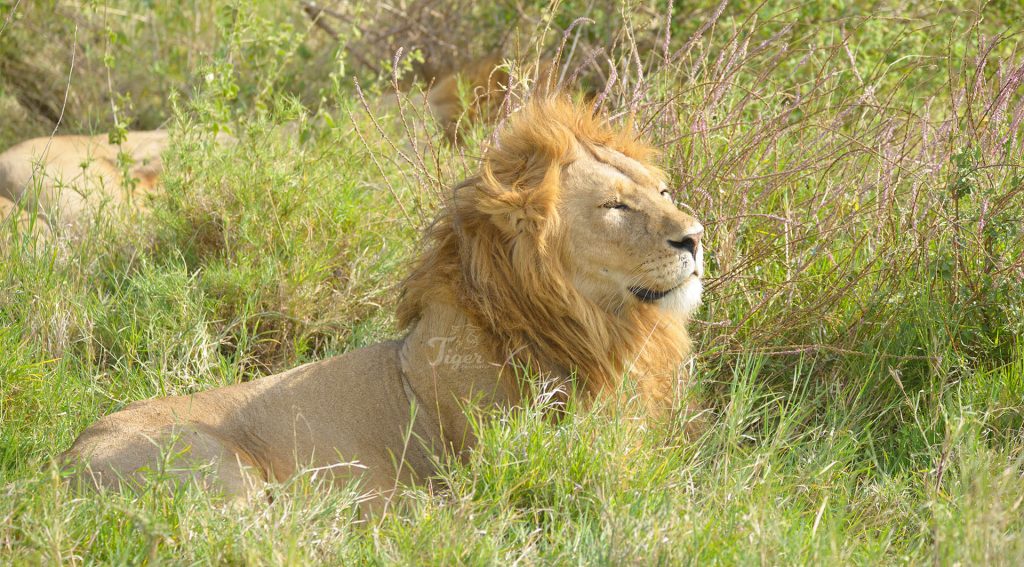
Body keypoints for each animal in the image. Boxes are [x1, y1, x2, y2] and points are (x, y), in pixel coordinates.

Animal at [61, 96, 705, 506]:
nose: (696, 237)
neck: (597, 327)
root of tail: (63, 461)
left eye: (664, 191)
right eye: (615, 206)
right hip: (217, 471)